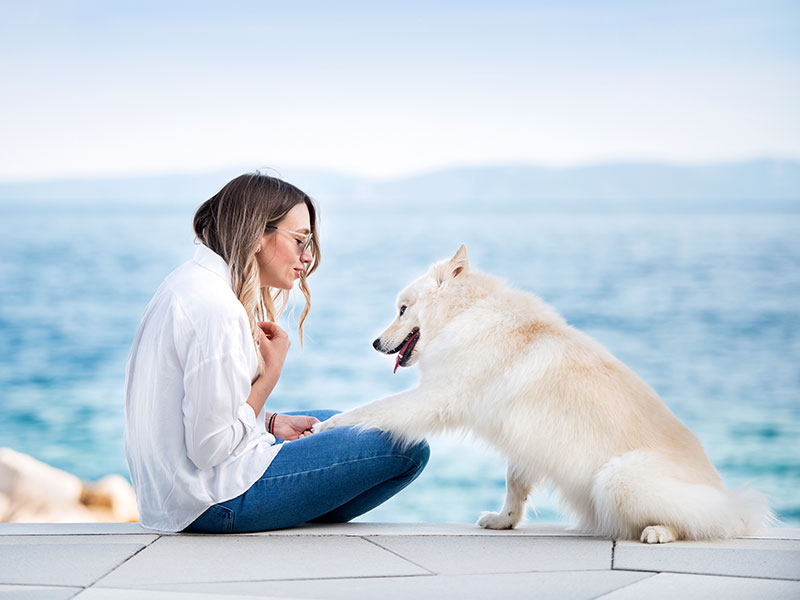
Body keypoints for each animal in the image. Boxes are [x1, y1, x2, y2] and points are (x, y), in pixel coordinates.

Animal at [310, 245, 768, 544]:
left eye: (402, 310)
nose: (374, 343)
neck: (464, 315)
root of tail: (731, 502)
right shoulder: (524, 436)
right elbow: (515, 483)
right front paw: (505, 521)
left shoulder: (435, 398)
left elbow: (371, 410)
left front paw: (325, 428)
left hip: (618, 478)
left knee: (698, 521)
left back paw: (659, 531)